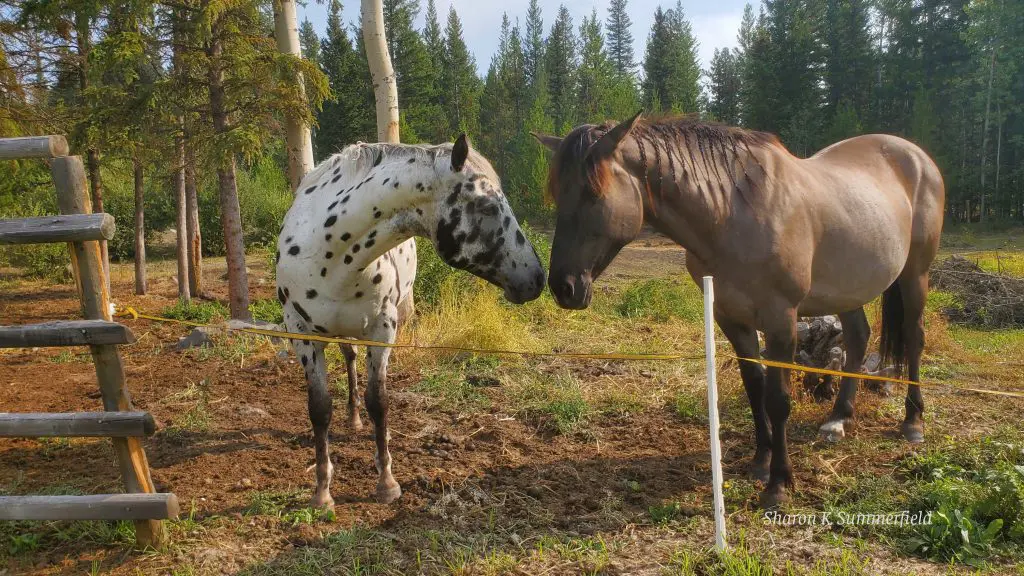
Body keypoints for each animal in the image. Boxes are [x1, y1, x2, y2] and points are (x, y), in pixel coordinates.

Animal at [276, 135, 545, 507]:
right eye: (488, 207)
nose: (537, 278)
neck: (331, 258)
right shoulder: (301, 334)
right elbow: (319, 408)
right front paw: (321, 492)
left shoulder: (382, 329)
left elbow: (379, 402)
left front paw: (386, 482)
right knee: (349, 358)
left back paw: (356, 419)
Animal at [533, 113, 944, 507]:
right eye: (558, 194)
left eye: (592, 193)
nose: (563, 287)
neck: (733, 214)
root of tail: (915, 155)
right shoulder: (731, 320)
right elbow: (754, 388)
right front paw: (761, 462)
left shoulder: (781, 321)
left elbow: (778, 400)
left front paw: (779, 484)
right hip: (848, 289)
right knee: (858, 338)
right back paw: (839, 419)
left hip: (915, 274)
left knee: (914, 338)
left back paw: (913, 422)